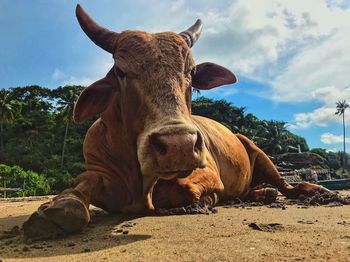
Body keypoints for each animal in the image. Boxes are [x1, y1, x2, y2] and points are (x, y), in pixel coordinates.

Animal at [23, 4, 330, 239]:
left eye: (191, 71)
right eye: (121, 72)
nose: (178, 145)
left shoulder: (207, 172)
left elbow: (184, 190)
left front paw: (205, 200)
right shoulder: (97, 171)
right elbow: (77, 191)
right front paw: (56, 211)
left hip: (257, 150)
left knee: (287, 186)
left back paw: (314, 191)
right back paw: (260, 194)